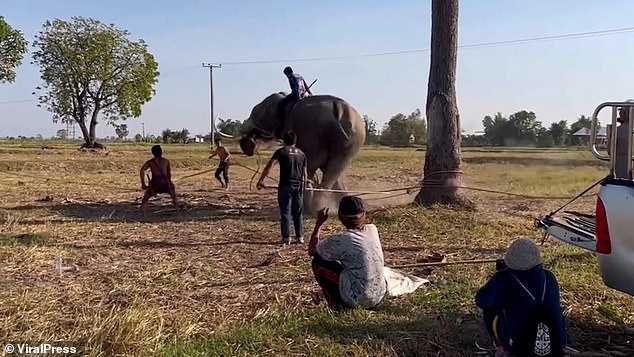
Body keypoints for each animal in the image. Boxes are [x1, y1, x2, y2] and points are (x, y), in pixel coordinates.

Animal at [238, 92, 366, 214]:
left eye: (256, 115)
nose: (246, 146)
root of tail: (338, 111)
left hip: (317, 134)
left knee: (312, 168)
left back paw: (311, 207)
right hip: (352, 139)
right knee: (335, 168)